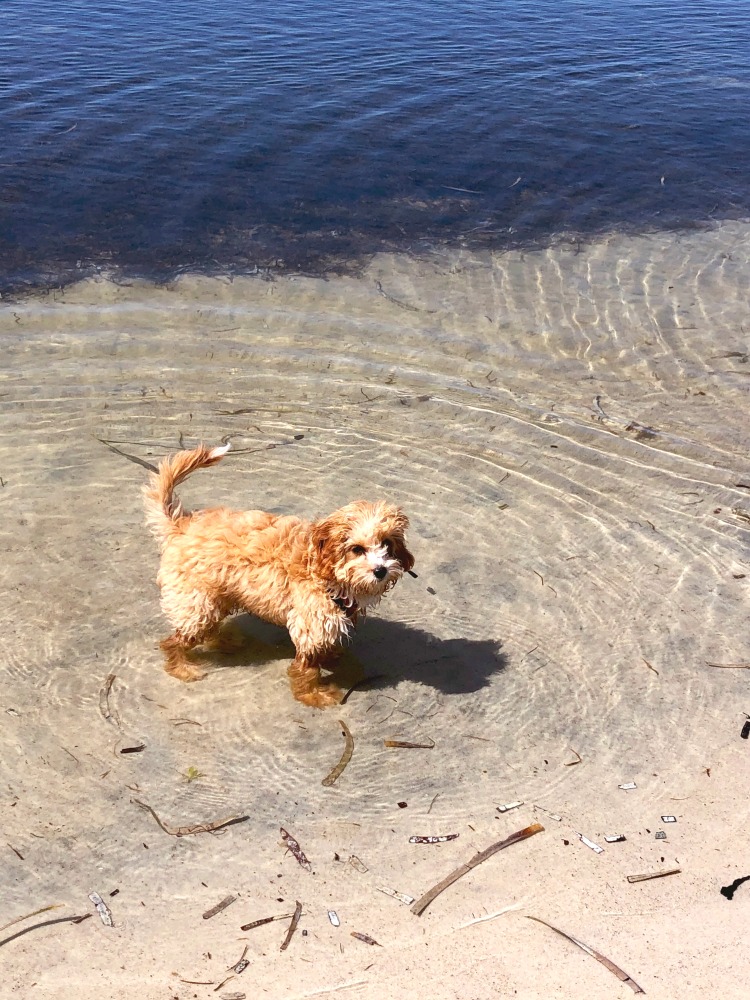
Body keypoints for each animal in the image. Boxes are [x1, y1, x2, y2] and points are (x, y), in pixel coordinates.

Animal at [144, 442, 414, 708]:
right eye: (357, 549)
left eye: (387, 544)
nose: (380, 570)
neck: (322, 570)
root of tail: (181, 525)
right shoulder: (310, 624)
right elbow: (308, 669)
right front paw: (313, 695)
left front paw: (331, 656)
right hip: (195, 599)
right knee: (175, 640)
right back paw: (183, 667)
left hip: (215, 595)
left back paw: (225, 641)